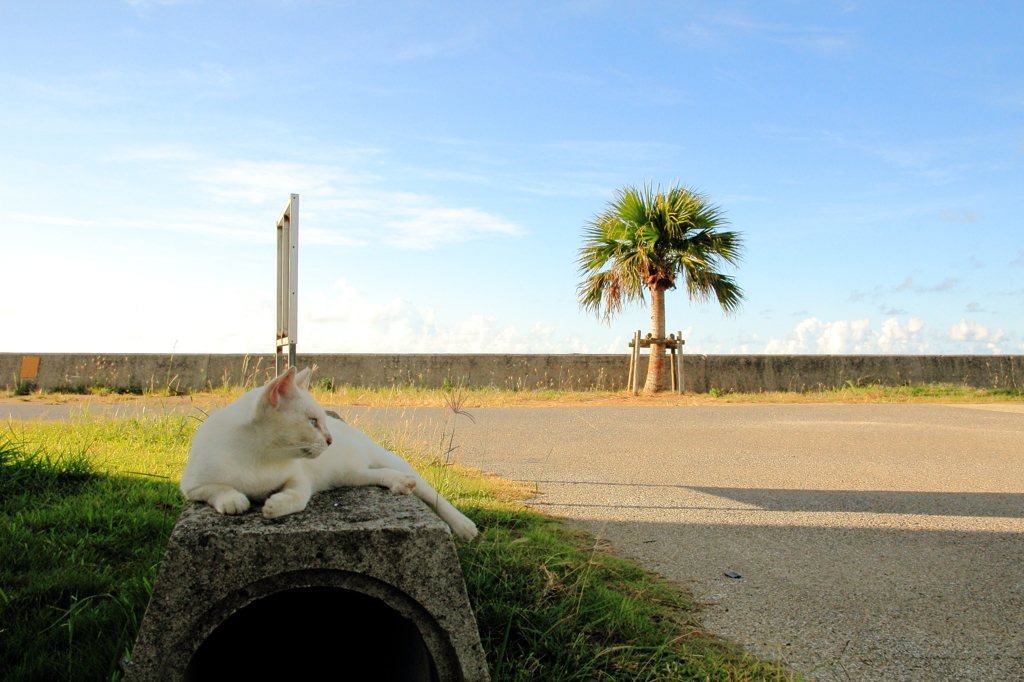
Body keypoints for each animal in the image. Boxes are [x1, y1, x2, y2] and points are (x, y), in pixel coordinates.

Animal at [179, 368, 475, 540]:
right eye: (312, 422)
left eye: (322, 421)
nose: (330, 440)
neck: (260, 457)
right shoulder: (191, 486)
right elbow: (217, 489)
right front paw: (234, 500)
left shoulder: (299, 479)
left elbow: (299, 496)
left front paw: (275, 505)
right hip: (350, 475)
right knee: (377, 474)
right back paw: (400, 483)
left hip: (387, 459)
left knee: (430, 493)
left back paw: (463, 526)